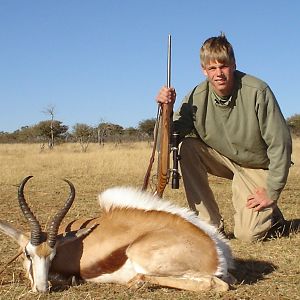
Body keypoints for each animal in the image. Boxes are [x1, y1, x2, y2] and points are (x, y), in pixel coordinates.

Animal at [0, 176, 234, 292]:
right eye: (28, 254)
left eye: (53, 255)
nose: (41, 289)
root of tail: (216, 252)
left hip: (141, 255)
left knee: (214, 284)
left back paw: (138, 282)